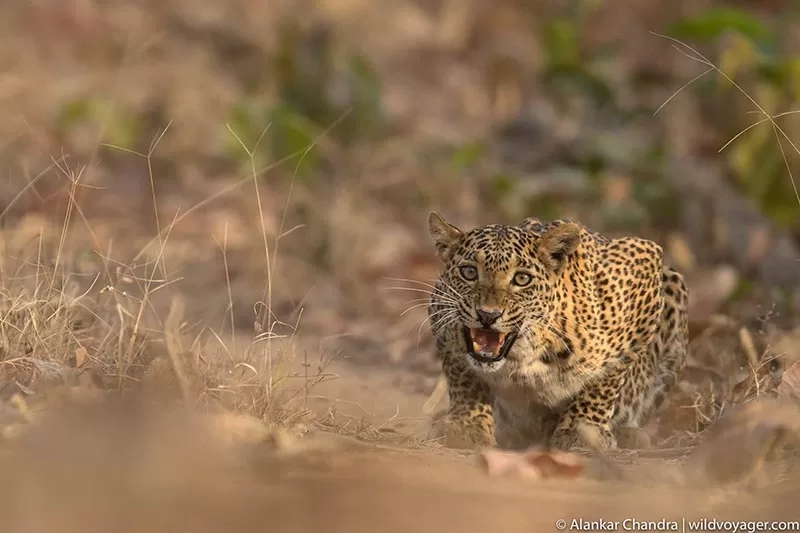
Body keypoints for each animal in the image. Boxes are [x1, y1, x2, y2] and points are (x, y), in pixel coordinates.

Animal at [425, 211, 689, 452]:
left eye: (522, 279)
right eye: (469, 272)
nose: (487, 315)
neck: (522, 355)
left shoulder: (643, 271)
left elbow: (605, 380)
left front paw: (582, 429)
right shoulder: (441, 317)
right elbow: (465, 377)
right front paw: (468, 424)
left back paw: (630, 434)